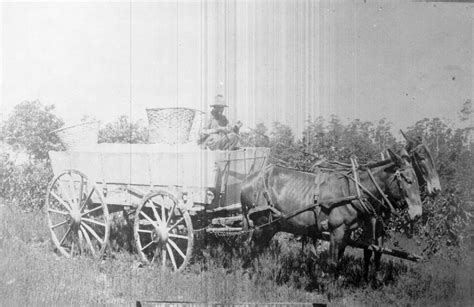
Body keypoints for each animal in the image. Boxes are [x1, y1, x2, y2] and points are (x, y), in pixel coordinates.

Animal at [241, 150, 422, 278]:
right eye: (408, 181)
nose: (418, 214)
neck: (352, 190)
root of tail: (247, 181)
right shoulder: (337, 230)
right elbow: (333, 262)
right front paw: (328, 288)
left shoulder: (347, 232)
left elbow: (340, 260)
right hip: (262, 224)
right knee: (253, 248)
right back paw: (248, 273)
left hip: (271, 226)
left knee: (257, 248)